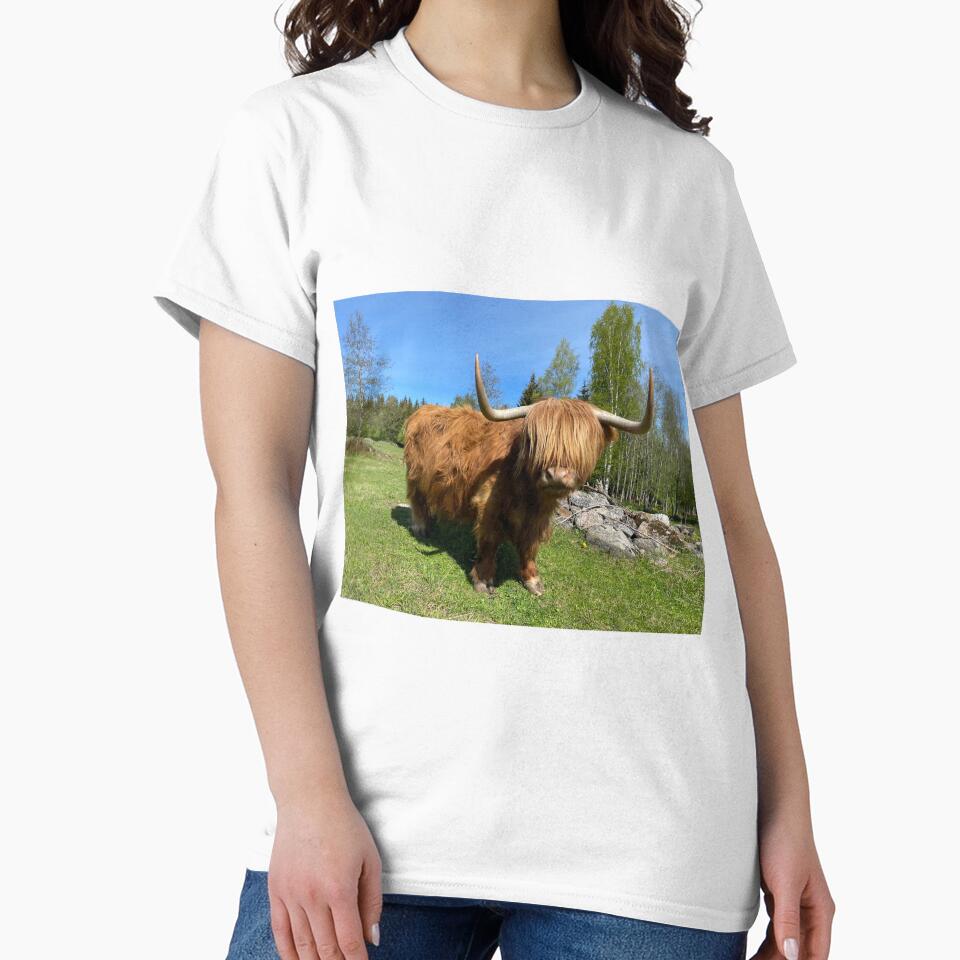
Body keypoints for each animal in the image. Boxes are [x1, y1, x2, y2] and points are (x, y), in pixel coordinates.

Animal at [403, 354, 654, 596]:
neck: (528, 492)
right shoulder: (489, 505)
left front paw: (532, 580)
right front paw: (483, 579)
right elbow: (489, 541)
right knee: (417, 499)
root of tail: (423, 410)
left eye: (583, 444)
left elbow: (529, 546)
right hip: (415, 474)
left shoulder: (539, 516)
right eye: (537, 439)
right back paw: (421, 528)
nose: (557, 475)